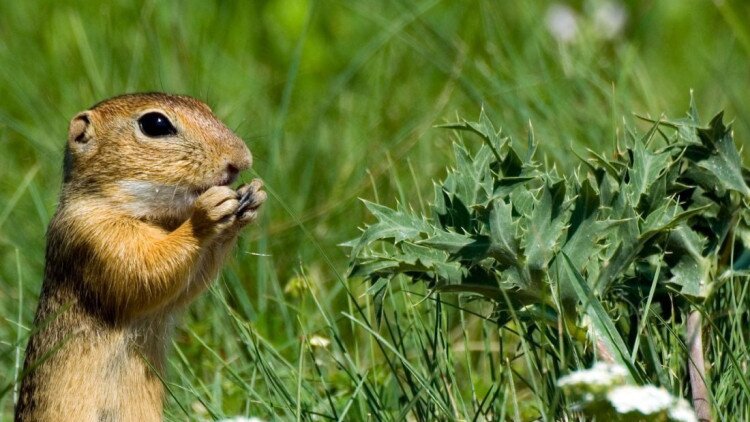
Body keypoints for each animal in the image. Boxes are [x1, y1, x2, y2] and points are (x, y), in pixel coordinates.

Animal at [13, 93, 268, 422]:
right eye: (155, 124)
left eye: (206, 107)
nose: (241, 160)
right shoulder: (96, 236)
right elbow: (145, 268)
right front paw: (207, 212)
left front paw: (253, 195)